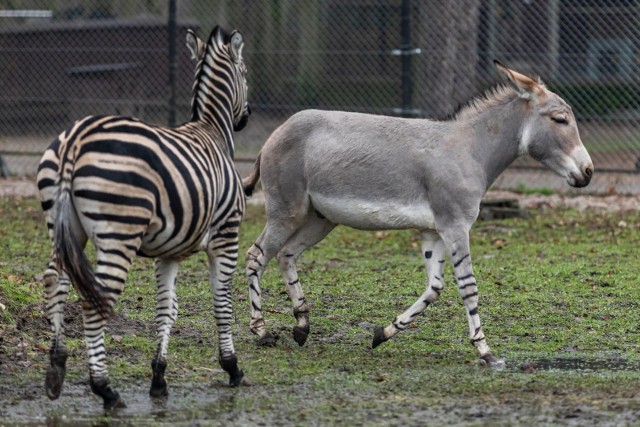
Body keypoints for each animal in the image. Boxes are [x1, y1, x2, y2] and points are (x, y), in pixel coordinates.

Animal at [34, 25, 250, 410]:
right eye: (245, 72)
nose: (246, 117)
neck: (210, 129)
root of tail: (75, 139)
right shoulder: (228, 235)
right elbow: (221, 301)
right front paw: (231, 366)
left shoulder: (169, 251)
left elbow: (167, 308)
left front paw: (159, 377)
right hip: (119, 236)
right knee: (94, 303)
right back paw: (105, 389)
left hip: (66, 230)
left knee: (54, 280)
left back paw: (56, 369)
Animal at [242, 60, 592, 368]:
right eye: (560, 120)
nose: (588, 173)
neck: (470, 150)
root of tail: (276, 132)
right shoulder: (456, 227)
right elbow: (468, 287)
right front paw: (486, 352)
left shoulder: (433, 232)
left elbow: (434, 289)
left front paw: (383, 333)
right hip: (287, 210)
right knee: (256, 255)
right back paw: (262, 331)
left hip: (320, 218)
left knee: (286, 254)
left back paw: (301, 325)